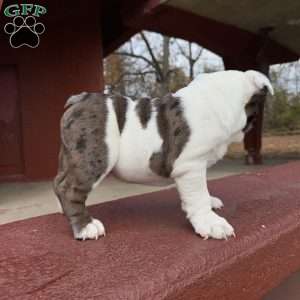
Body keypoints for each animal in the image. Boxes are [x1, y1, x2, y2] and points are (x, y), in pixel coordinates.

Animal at [52, 69, 274, 240]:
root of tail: (80, 98)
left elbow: (202, 191)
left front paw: (211, 202)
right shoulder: (191, 166)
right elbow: (198, 196)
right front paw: (211, 223)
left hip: (70, 156)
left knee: (59, 182)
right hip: (94, 157)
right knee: (70, 189)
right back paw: (86, 226)